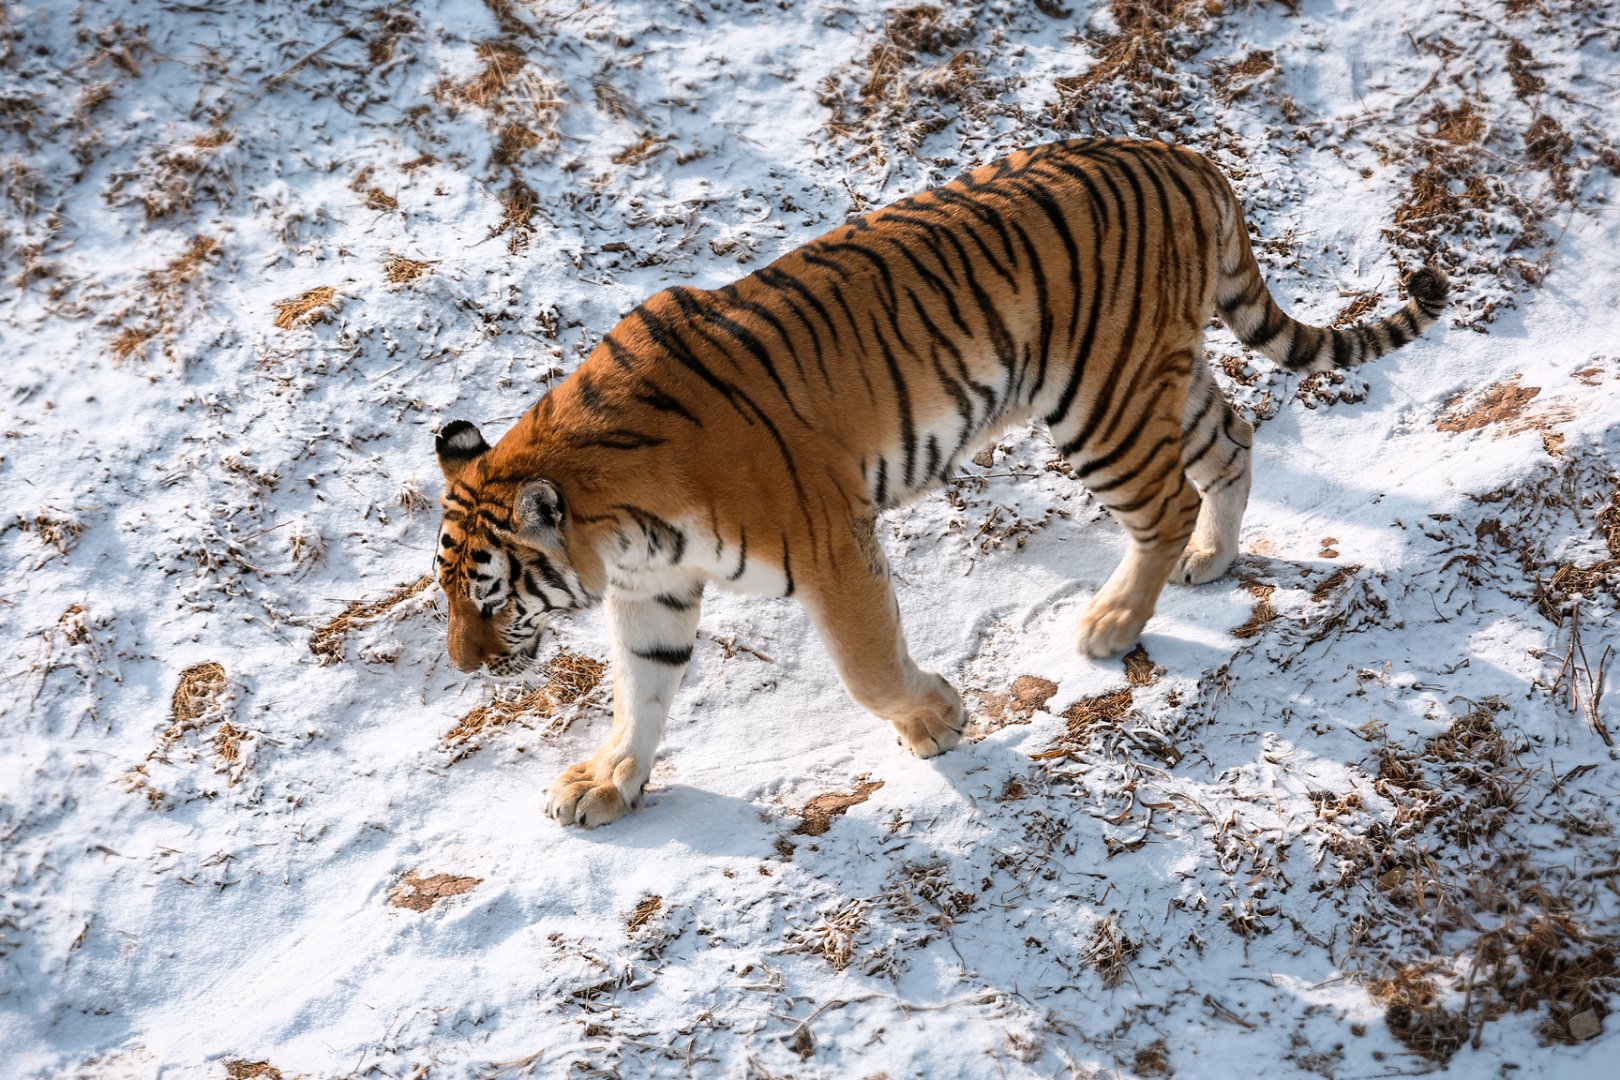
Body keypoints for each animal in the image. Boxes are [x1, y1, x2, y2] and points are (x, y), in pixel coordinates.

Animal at [433, 137, 1449, 828]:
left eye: (490, 596)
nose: (463, 667)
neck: (621, 524)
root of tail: (1182, 156)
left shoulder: (833, 545)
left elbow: (866, 663)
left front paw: (936, 719)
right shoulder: (654, 591)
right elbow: (640, 690)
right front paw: (607, 781)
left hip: (1100, 406)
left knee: (1168, 501)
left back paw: (1115, 622)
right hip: (1158, 377)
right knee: (1231, 441)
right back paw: (1214, 558)